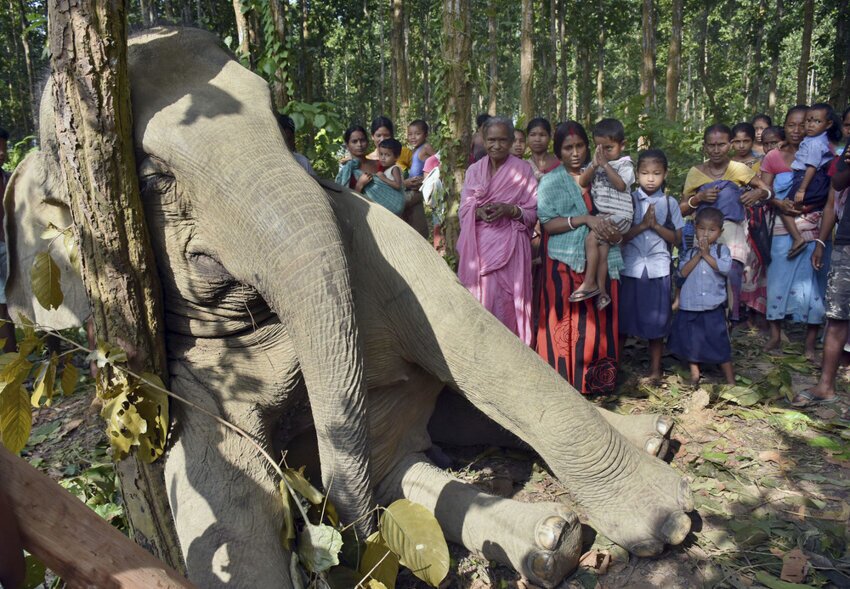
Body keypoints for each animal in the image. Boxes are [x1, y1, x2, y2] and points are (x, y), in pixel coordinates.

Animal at [6, 26, 692, 588]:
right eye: (151, 179)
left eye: (285, 124)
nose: (330, 537)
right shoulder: (174, 374)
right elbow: (228, 505)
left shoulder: (371, 233)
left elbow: (476, 340)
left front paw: (671, 522)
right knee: (404, 476)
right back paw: (552, 542)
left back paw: (649, 441)